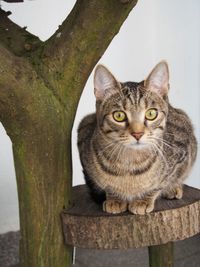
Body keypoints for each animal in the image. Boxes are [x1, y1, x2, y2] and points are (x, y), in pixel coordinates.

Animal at [77, 61, 197, 216]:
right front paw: (114, 198)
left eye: (151, 113)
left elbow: (162, 182)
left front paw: (143, 200)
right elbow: (108, 186)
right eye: (119, 115)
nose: (137, 133)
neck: (129, 163)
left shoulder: (183, 150)